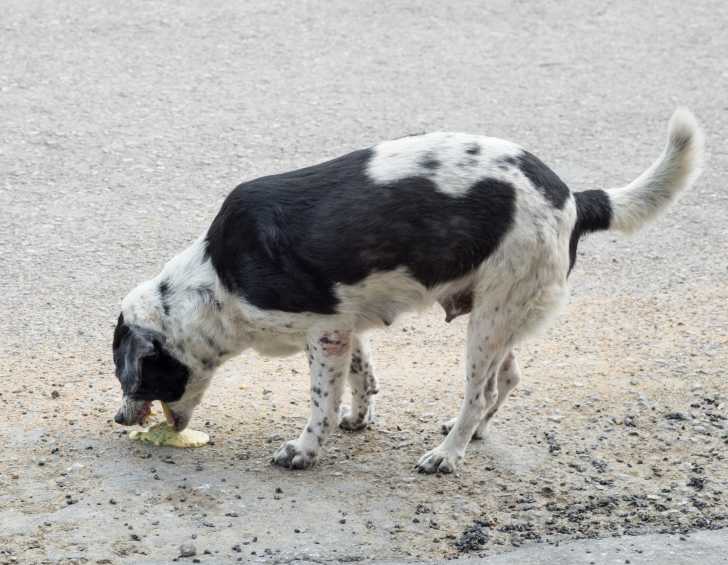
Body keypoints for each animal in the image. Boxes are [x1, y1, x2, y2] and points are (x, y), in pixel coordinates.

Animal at [114, 109, 704, 472]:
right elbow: (362, 377)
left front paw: (305, 450)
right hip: (502, 313)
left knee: (479, 391)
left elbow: (321, 401)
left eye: (132, 378)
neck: (216, 279)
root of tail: (573, 198)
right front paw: (358, 419)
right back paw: (474, 434)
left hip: (490, 320)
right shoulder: (344, 327)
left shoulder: (323, 333)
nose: (118, 420)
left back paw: (448, 454)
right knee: (507, 377)